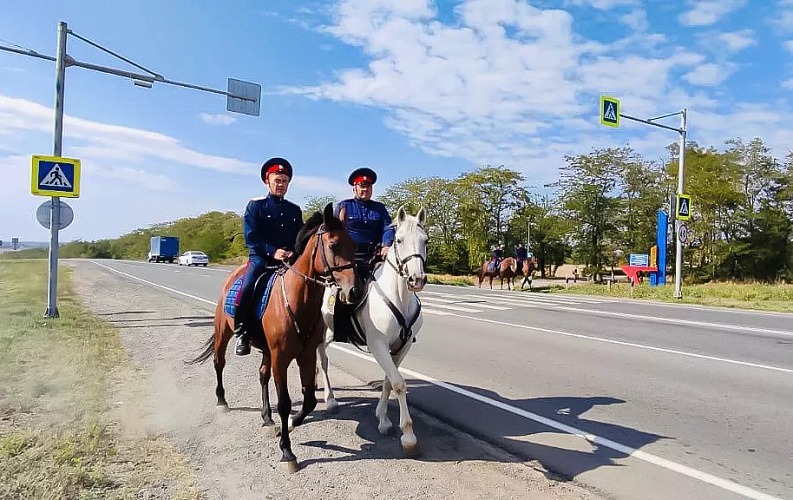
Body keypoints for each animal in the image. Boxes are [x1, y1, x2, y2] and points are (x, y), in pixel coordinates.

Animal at [189, 203, 358, 472]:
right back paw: (222, 401)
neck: (299, 299)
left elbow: (309, 400)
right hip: (223, 332)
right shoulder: (281, 358)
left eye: (353, 244)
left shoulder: (306, 356)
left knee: (262, 375)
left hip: (266, 350)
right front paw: (287, 451)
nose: (354, 291)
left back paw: (267, 417)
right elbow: (286, 402)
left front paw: (290, 424)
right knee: (219, 363)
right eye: (333, 245)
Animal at [316, 205, 426, 456]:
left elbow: (388, 382)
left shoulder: (401, 347)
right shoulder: (378, 346)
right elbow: (399, 383)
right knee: (323, 361)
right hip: (322, 335)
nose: (417, 279)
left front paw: (382, 418)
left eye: (425, 240)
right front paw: (408, 435)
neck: (399, 298)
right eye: (399, 240)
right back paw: (330, 399)